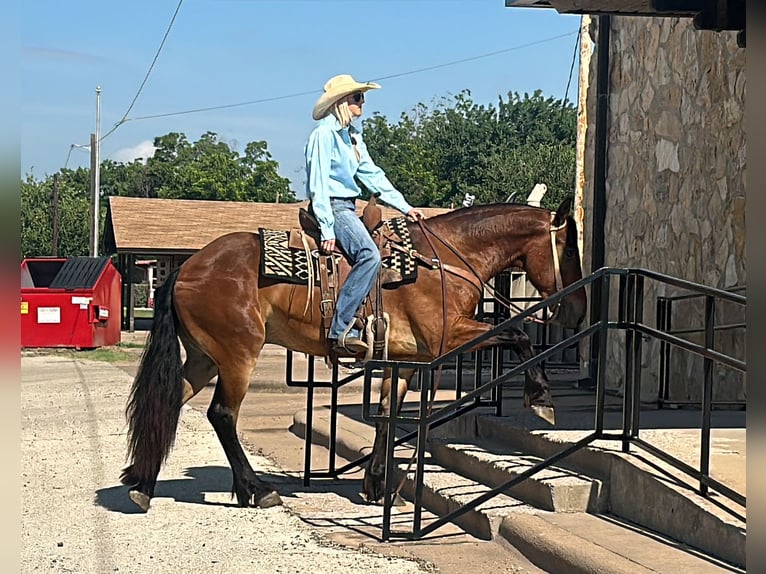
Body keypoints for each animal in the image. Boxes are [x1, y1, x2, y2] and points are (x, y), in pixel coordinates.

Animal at [121, 201, 588, 512]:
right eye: (570, 250)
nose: (578, 311)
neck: (444, 260)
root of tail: (186, 268)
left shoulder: (407, 359)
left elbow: (385, 415)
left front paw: (377, 486)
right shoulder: (449, 339)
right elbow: (517, 334)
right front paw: (541, 398)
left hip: (204, 358)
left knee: (169, 402)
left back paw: (143, 483)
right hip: (238, 356)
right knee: (222, 415)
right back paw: (256, 489)